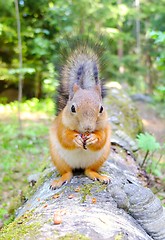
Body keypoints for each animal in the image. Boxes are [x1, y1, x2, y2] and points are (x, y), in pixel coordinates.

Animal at [49, 44, 111, 188]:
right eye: (72, 108)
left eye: (101, 108)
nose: (88, 128)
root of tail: (79, 166)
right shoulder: (61, 125)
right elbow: (64, 136)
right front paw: (75, 139)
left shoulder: (105, 127)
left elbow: (102, 137)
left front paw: (94, 138)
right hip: (58, 159)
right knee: (67, 172)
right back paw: (60, 180)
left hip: (100, 158)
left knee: (89, 170)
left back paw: (98, 176)